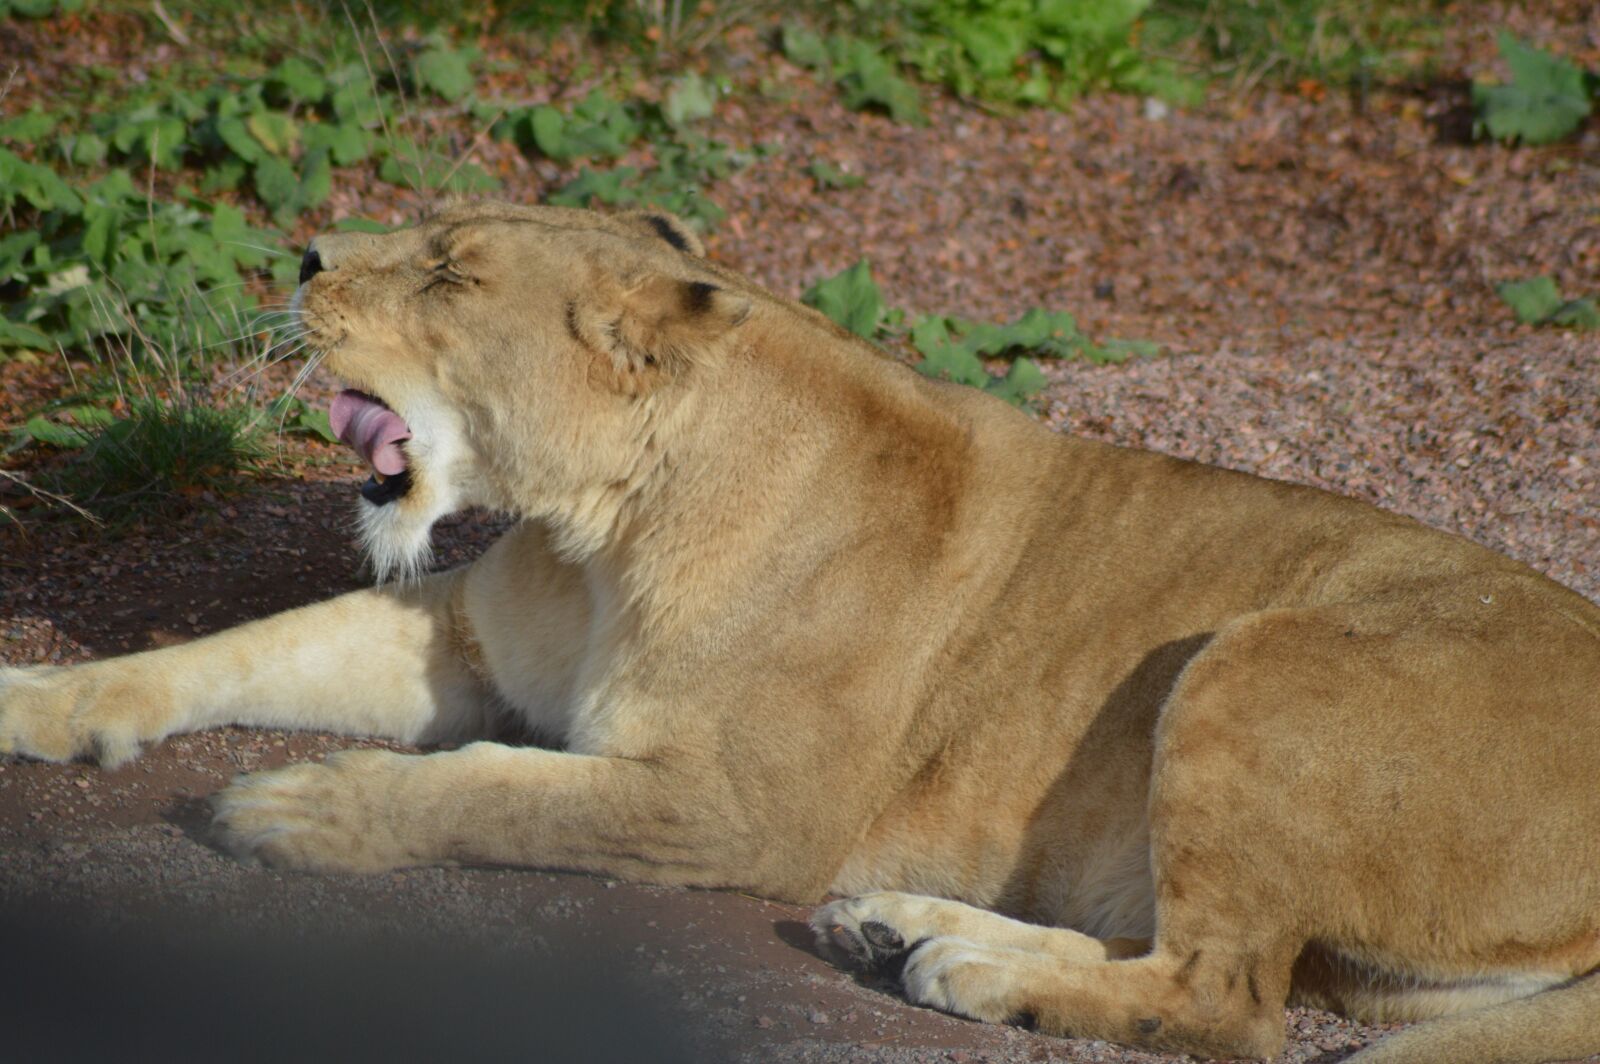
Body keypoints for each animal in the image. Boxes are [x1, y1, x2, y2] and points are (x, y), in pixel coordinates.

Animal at [1, 201, 1597, 1063]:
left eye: (450, 271)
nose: (305, 247)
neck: (603, 531)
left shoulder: (735, 809)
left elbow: (493, 788)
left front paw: (308, 810)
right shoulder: (460, 631)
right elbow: (230, 649)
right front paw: (34, 699)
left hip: (1251, 660)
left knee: (1227, 998)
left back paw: (964, 970)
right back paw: (897, 926)